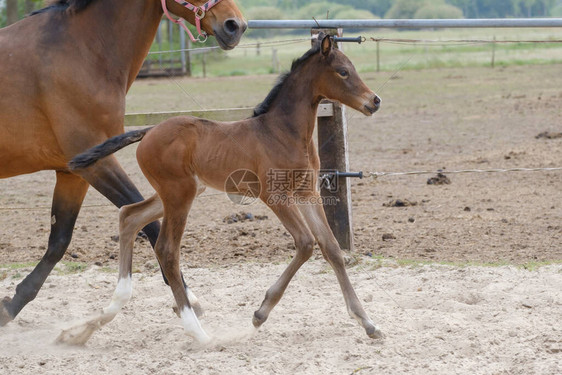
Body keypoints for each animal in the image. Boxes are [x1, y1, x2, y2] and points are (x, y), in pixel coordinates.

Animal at [0, 0, 245, 328]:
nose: (236, 25)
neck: (82, 50)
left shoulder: (73, 172)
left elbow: (59, 241)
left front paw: (11, 305)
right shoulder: (97, 164)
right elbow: (150, 224)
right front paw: (189, 299)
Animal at [64, 34, 380, 344]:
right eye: (343, 72)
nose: (374, 101)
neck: (282, 133)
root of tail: (149, 130)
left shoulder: (307, 193)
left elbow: (331, 247)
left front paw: (367, 322)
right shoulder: (274, 196)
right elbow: (305, 243)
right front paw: (260, 314)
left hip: (179, 192)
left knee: (130, 216)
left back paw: (100, 317)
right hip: (179, 194)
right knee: (167, 250)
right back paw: (198, 333)